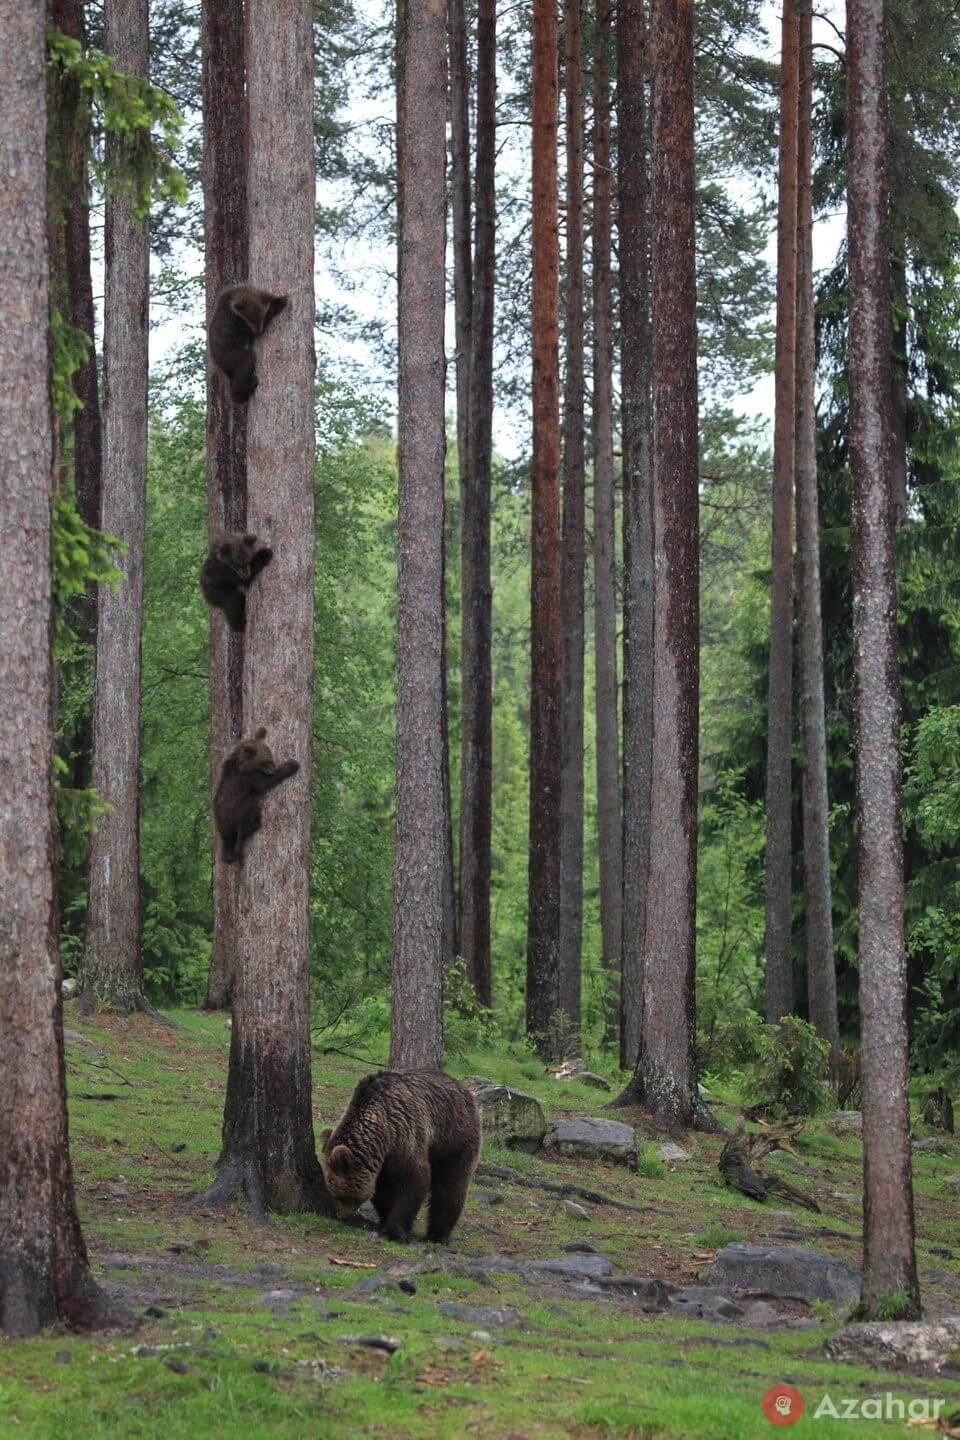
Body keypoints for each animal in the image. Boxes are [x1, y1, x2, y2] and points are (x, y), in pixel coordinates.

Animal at [320, 1077, 480, 1244]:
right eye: (333, 1192)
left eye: (342, 1195)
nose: (341, 1216)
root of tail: (465, 1089)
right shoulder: (383, 1162)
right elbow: (383, 1191)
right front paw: (385, 1221)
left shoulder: (406, 1135)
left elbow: (413, 1183)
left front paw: (397, 1232)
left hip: (455, 1137)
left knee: (451, 1185)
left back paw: (438, 1235)